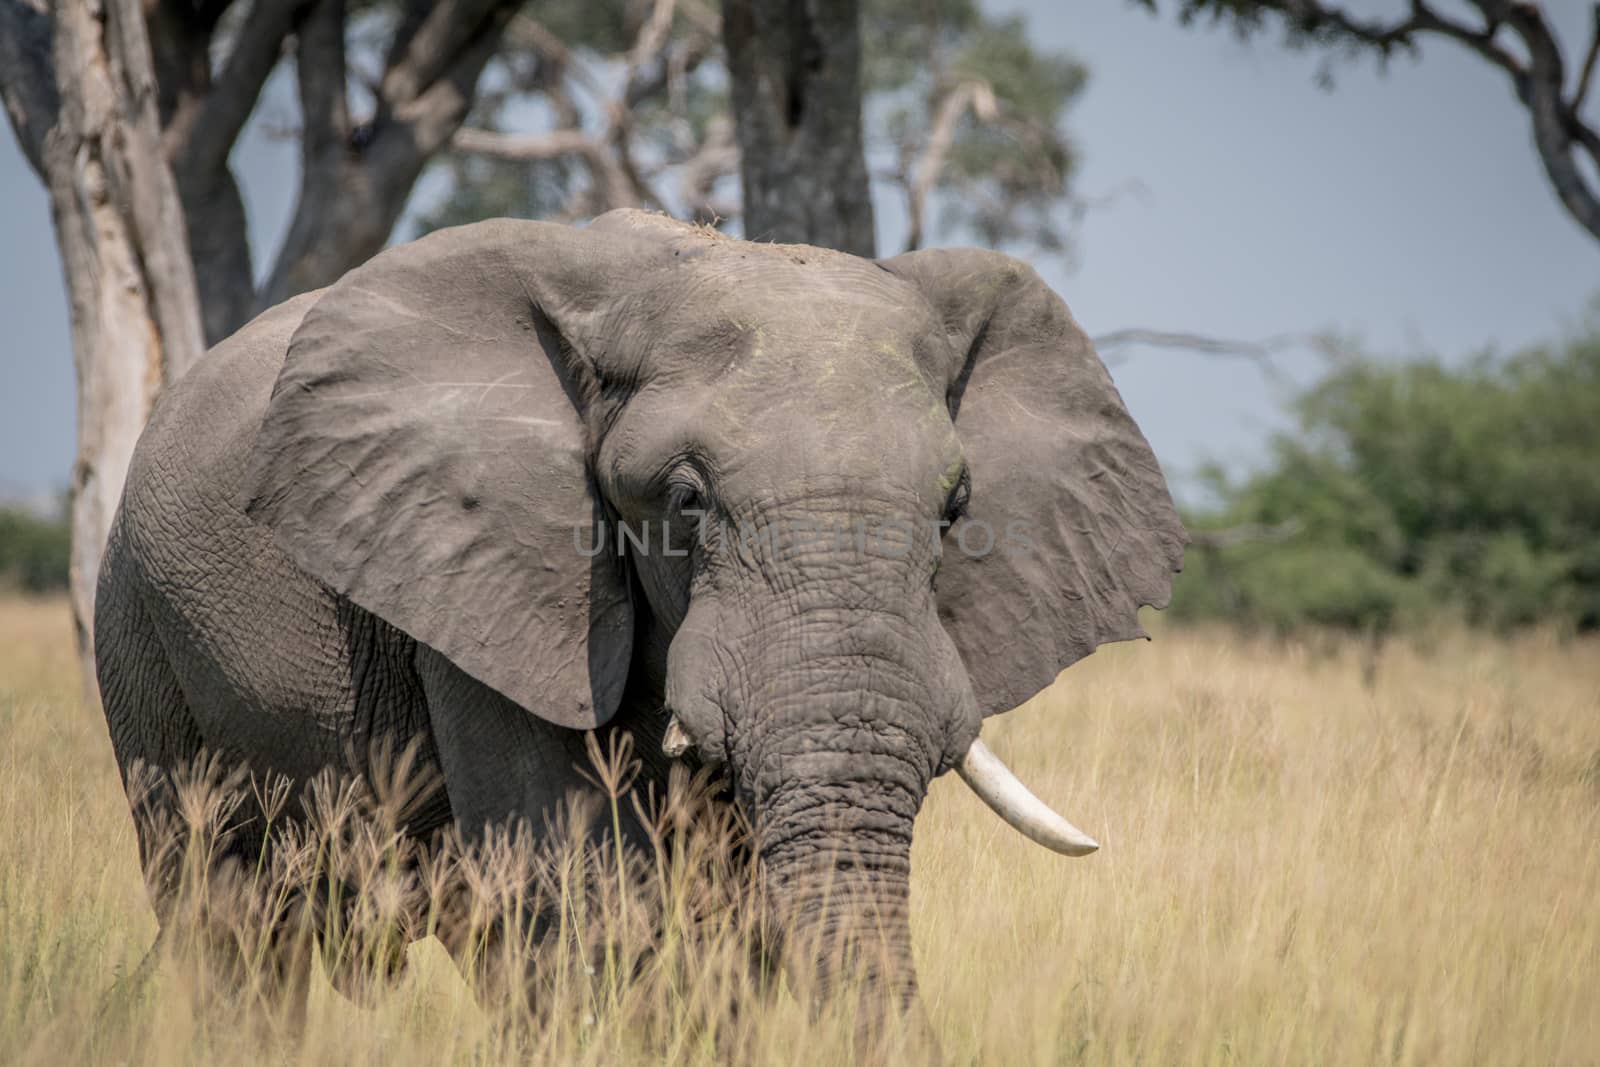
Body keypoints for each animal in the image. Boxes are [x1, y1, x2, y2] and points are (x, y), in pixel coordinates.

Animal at [90, 211, 1190, 1023]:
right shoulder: (488, 586)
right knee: (226, 919)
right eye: (685, 499)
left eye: (955, 511)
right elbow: (566, 884)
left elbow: (728, 914)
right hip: (140, 631)